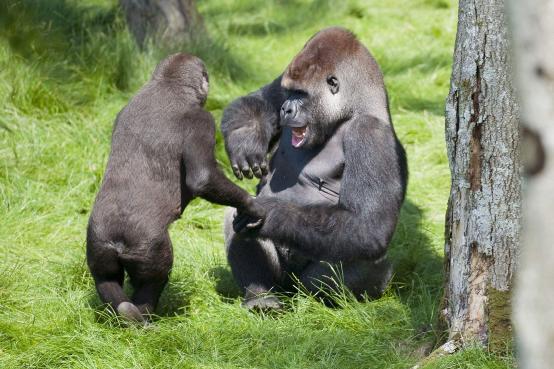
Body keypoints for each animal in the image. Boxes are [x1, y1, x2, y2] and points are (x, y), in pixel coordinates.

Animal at [87, 53, 264, 320]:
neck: (166, 85)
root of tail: (117, 240)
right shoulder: (203, 120)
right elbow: (203, 177)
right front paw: (251, 205)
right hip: (148, 247)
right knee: (154, 279)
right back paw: (143, 317)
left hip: (98, 242)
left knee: (105, 279)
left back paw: (125, 314)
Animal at [220, 27, 406, 308]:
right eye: (289, 93)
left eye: (302, 94)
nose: (285, 109)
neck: (352, 110)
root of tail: (290, 289)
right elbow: (255, 99)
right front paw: (246, 137)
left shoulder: (371, 134)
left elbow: (368, 226)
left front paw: (269, 213)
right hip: (282, 283)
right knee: (233, 215)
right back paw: (260, 294)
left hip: (309, 283)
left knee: (366, 259)